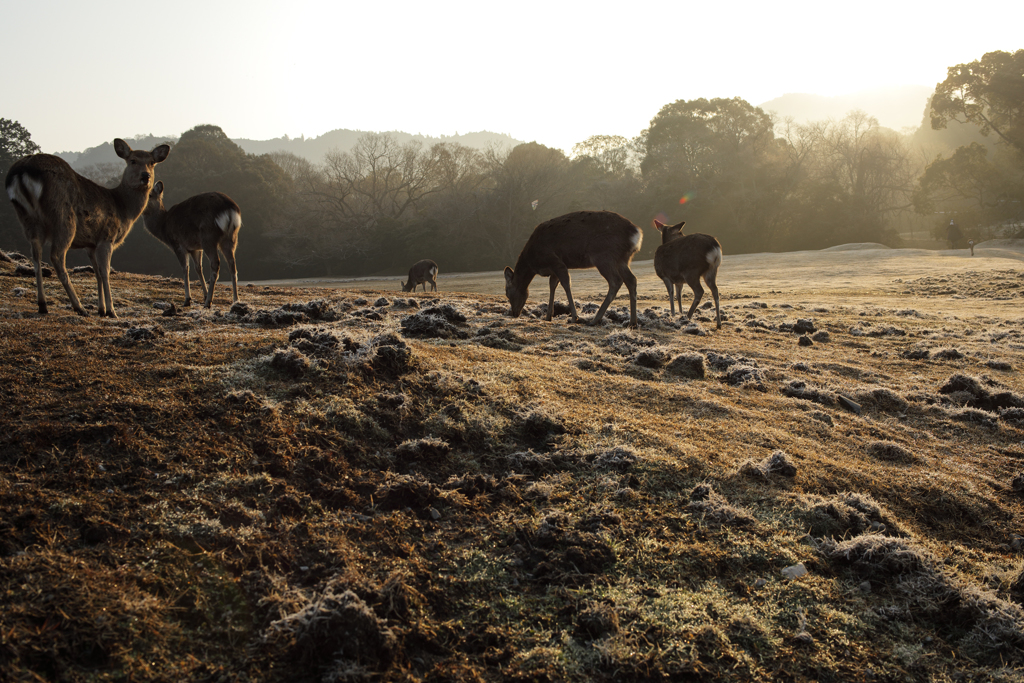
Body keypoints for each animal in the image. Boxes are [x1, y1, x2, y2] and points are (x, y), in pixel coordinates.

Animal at [4, 139, 168, 321]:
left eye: (151, 162)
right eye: (132, 160)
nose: (145, 176)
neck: (123, 209)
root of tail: (21, 172)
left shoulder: (90, 244)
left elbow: (96, 273)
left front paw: (101, 309)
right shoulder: (107, 237)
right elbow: (105, 272)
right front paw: (111, 311)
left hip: (27, 219)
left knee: (36, 256)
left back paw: (43, 305)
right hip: (63, 218)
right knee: (56, 256)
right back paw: (79, 307)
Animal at [141, 181, 242, 309]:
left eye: (149, 195)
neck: (163, 228)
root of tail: (229, 209)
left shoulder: (178, 244)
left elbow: (185, 268)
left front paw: (187, 300)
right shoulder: (195, 248)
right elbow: (198, 268)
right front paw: (204, 295)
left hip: (208, 236)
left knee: (215, 263)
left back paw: (208, 302)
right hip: (231, 237)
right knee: (232, 264)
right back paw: (235, 300)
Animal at [501, 209, 638, 327]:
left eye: (507, 293)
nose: (514, 313)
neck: (532, 263)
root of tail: (636, 233)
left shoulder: (555, 261)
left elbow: (566, 284)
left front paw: (574, 317)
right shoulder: (553, 269)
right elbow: (552, 285)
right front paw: (548, 316)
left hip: (603, 255)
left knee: (616, 280)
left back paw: (594, 320)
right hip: (622, 259)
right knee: (631, 280)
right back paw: (632, 322)